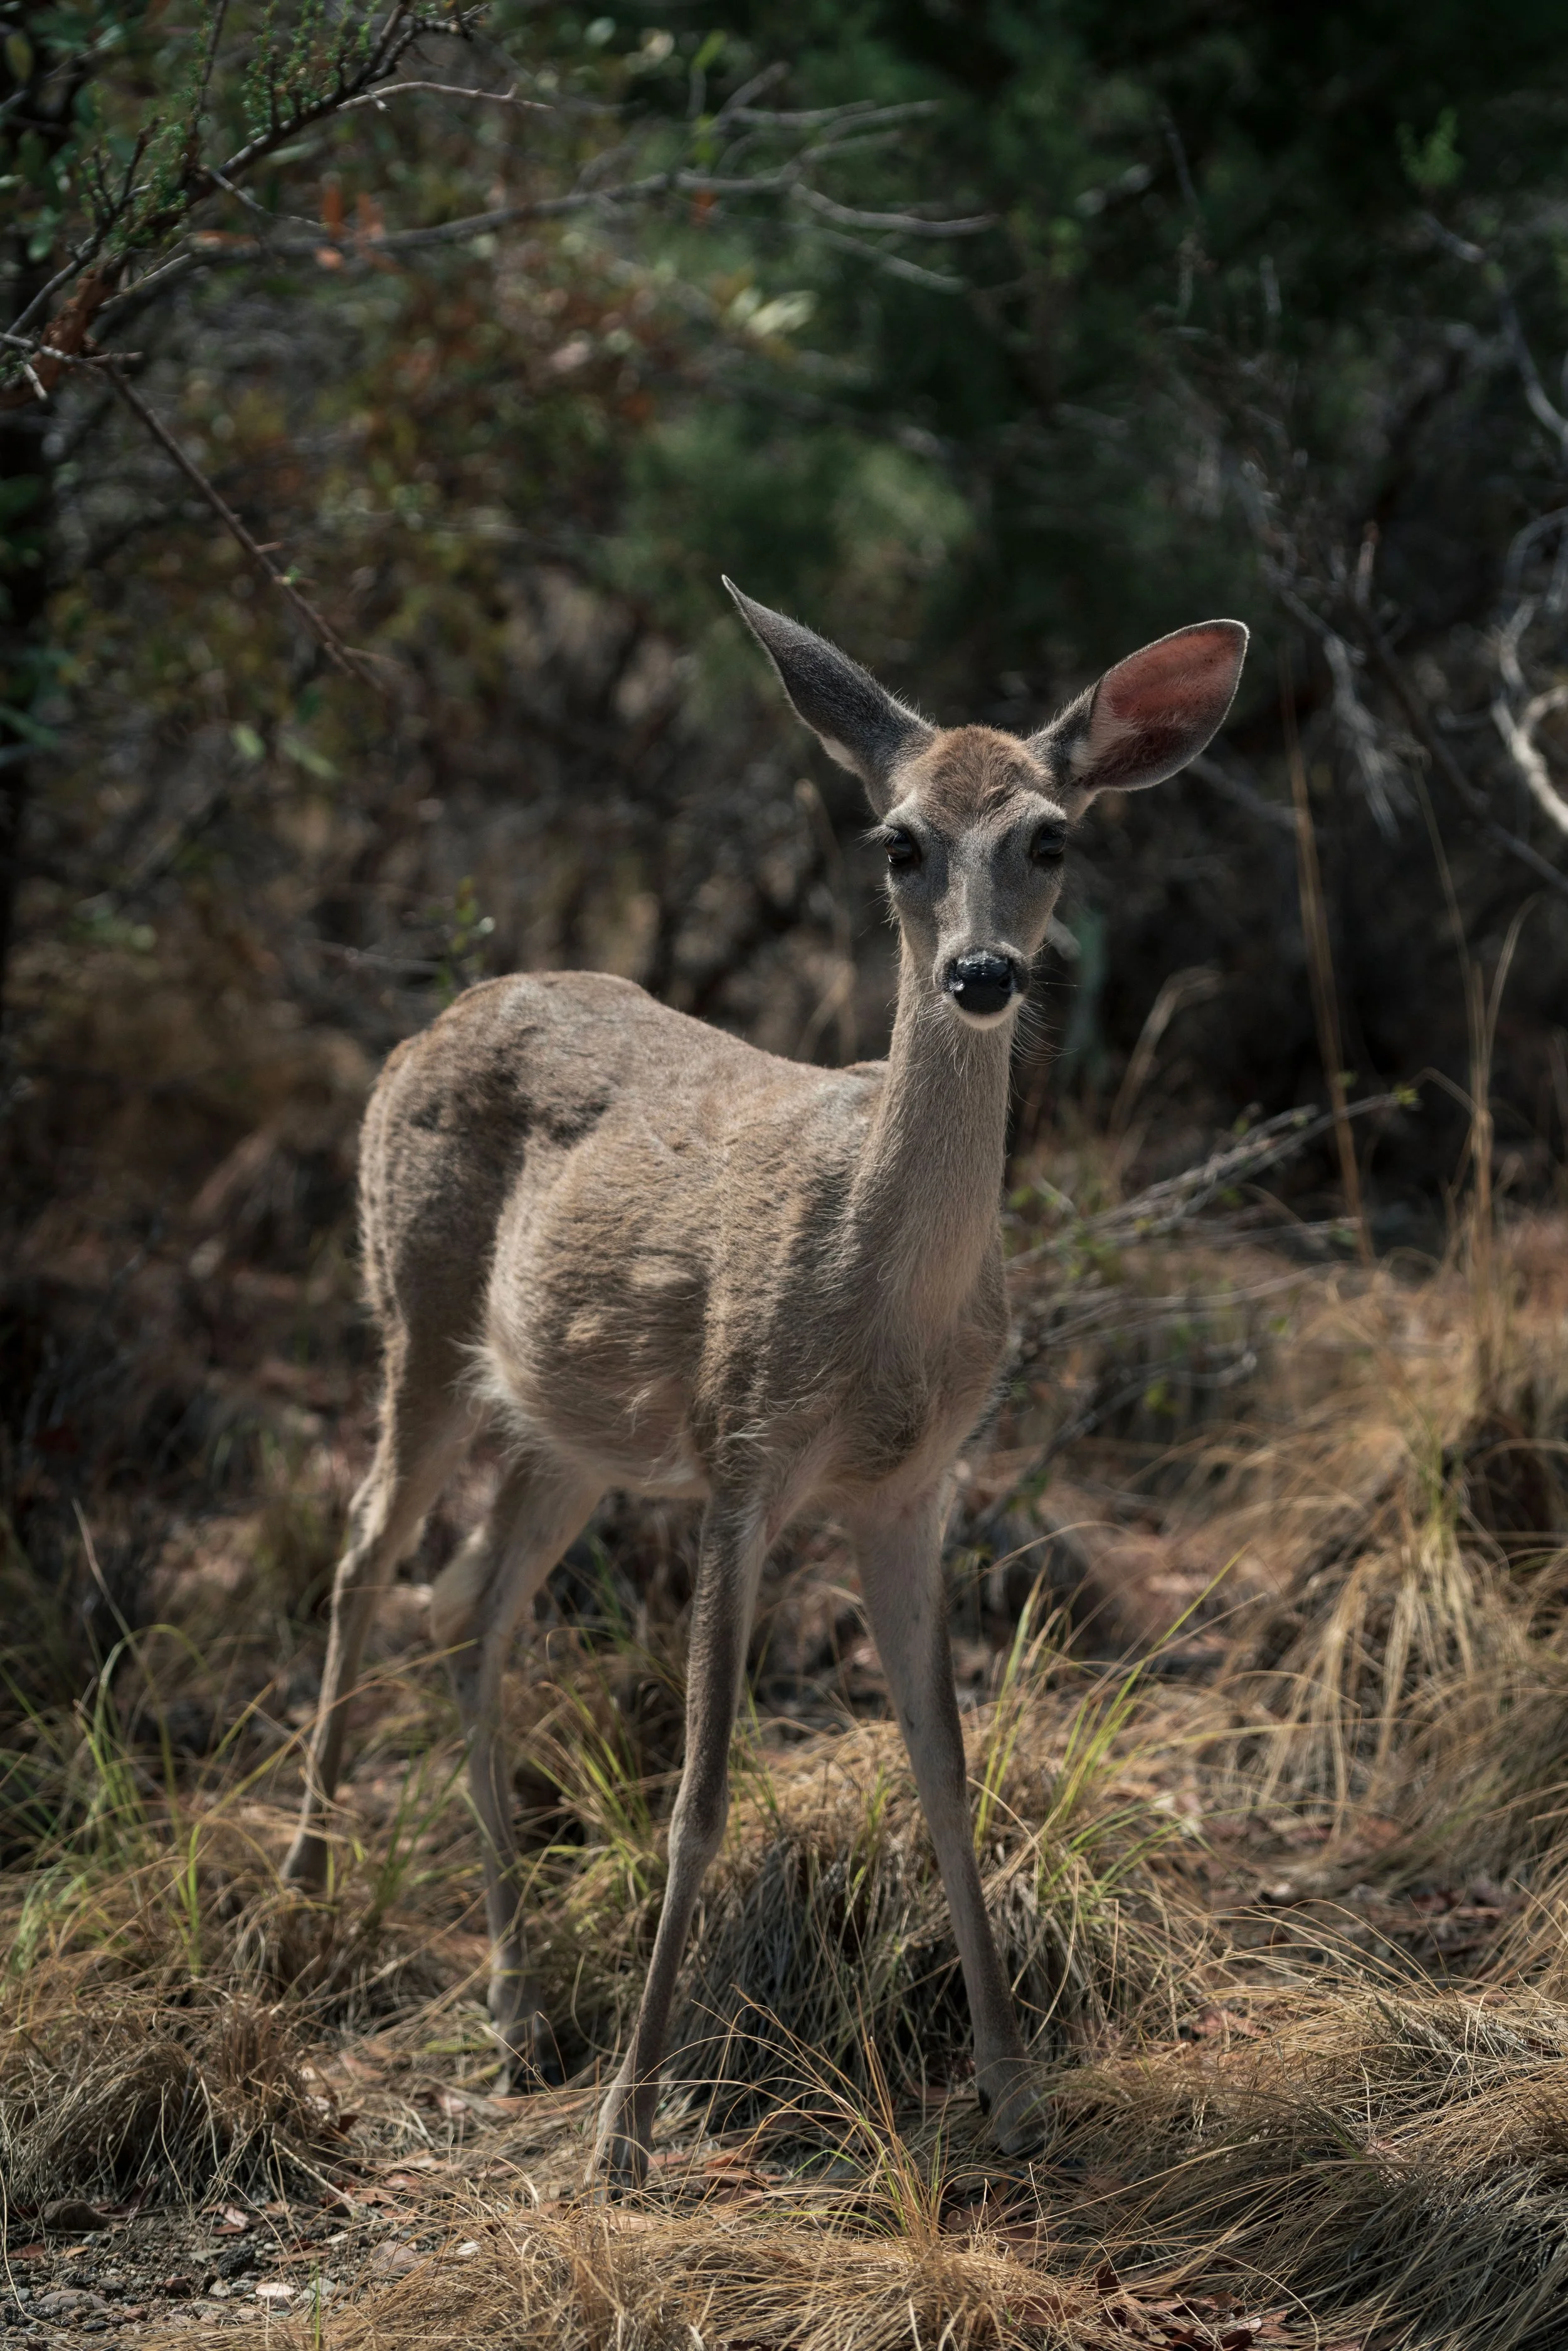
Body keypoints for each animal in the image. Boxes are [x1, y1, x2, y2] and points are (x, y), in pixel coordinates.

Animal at [281, 583, 1247, 2182]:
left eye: (1051, 835)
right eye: (899, 839)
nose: (980, 975)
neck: (887, 1311)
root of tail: (432, 1016)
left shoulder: (916, 1486)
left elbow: (945, 1769)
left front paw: (1016, 2093)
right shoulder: (742, 1457)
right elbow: (699, 1789)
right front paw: (625, 2127)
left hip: (570, 1430)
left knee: (467, 1609)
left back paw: (518, 2000)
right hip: (411, 1306)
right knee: (366, 1555)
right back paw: (307, 1896)